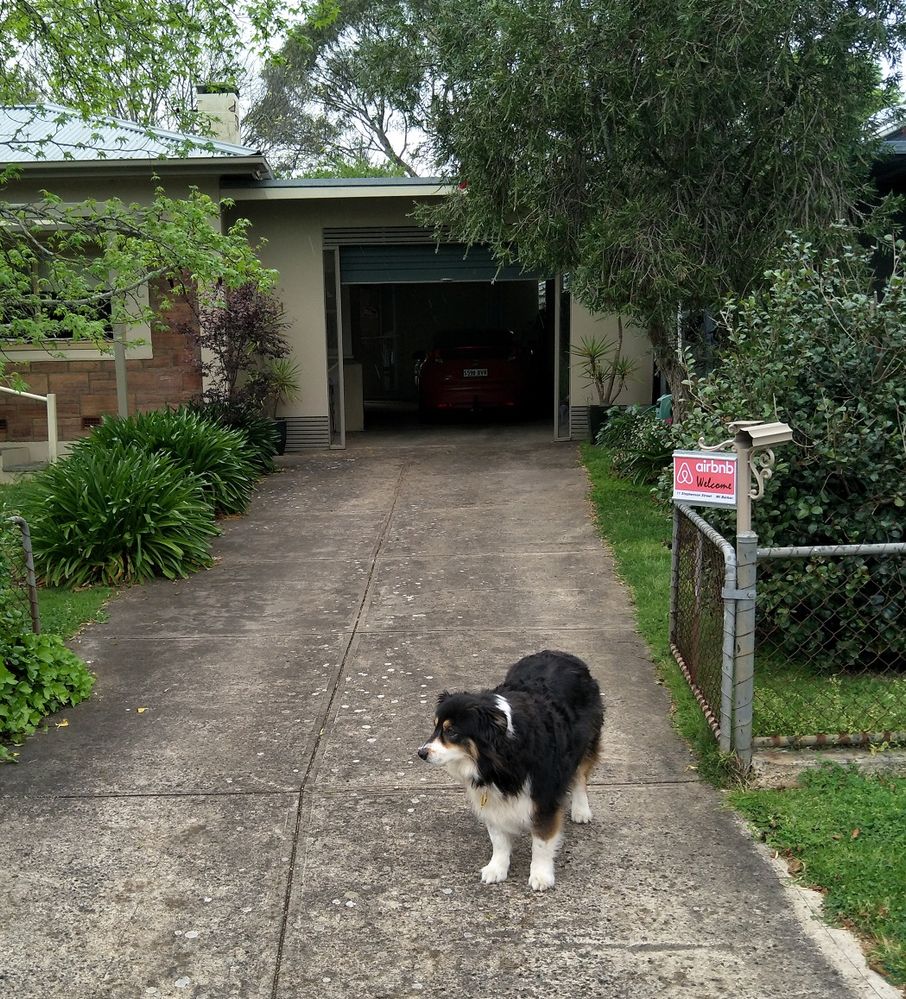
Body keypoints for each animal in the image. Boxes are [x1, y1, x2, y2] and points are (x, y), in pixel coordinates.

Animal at [418, 652, 604, 896]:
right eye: (435, 728)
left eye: (452, 731)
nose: (421, 753)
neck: (501, 754)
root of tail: (563, 654)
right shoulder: (491, 796)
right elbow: (498, 838)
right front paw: (497, 867)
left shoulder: (544, 796)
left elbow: (541, 842)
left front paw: (541, 875)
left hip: (587, 739)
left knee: (580, 775)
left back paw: (581, 809)